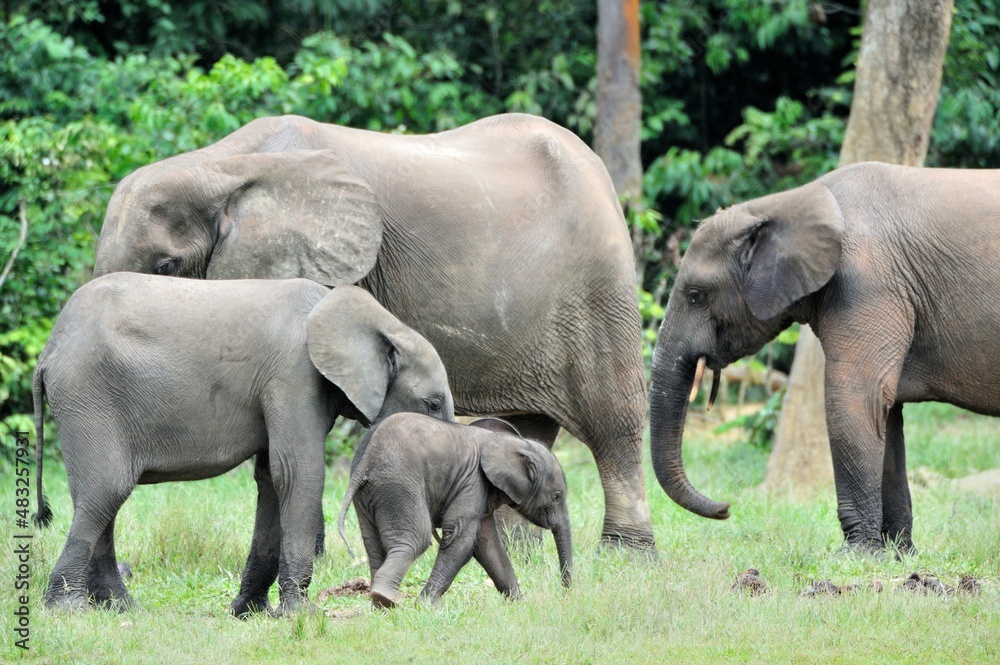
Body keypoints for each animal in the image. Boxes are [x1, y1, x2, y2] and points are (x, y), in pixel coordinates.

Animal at [31, 272, 454, 616]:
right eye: (432, 403)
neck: (383, 323)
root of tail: (48, 350)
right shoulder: (293, 373)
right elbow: (298, 472)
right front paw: (302, 614)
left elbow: (272, 479)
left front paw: (249, 612)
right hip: (88, 396)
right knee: (107, 491)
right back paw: (69, 610)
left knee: (100, 498)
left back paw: (120, 608)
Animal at [92, 113, 656, 548]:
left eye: (165, 267)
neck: (219, 168)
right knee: (530, 427)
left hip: (598, 288)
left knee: (614, 419)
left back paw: (627, 556)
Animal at [338, 412, 572, 604]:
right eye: (557, 496)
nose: (565, 594)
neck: (512, 443)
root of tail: (366, 463)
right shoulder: (473, 481)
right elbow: (461, 538)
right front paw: (426, 606)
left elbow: (488, 545)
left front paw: (520, 604)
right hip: (398, 485)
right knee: (416, 539)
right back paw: (386, 598)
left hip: (369, 495)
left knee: (373, 544)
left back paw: (379, 606)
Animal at [648, 163, 1000, 552]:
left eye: (695, 296)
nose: (728, 507)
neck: (786, 203)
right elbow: (885, 413)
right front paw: (897, 555)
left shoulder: (867, 284)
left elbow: (855, 398)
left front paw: (856, 556)